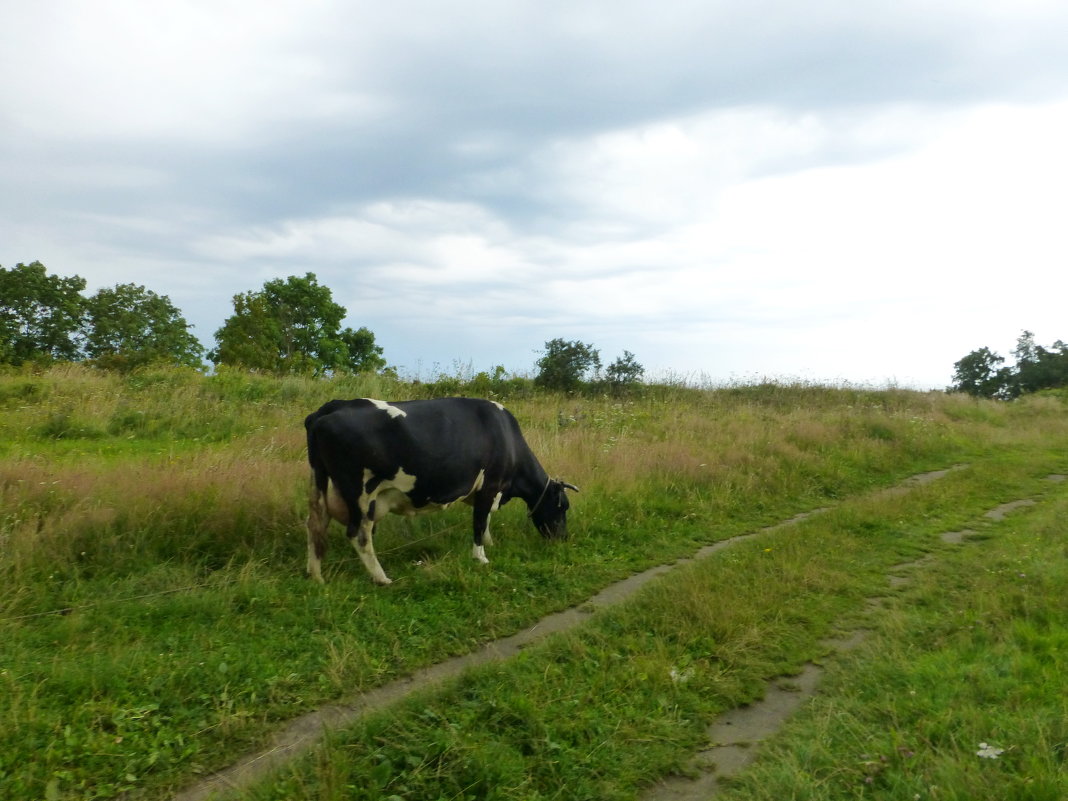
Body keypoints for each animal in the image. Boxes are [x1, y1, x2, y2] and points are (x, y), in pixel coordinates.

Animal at [305, 399, 580, 585]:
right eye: (562, 506)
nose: (563, 538)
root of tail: (331, 407)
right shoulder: (490, 485)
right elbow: (479, 522)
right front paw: (481, 557)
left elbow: (486, 520)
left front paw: (490, 544)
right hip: (359, 493)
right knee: (359, 534)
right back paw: (382, 578)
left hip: (320, 482)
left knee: (316, 523)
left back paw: (316, 576)